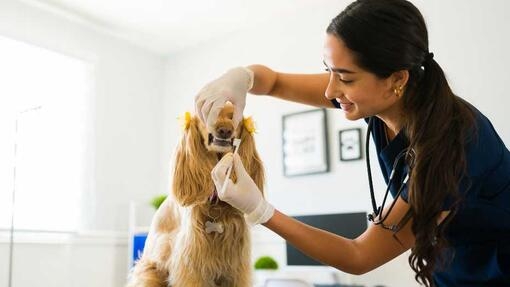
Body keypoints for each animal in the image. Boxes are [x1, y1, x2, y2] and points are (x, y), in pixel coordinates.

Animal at [126, 104, 264, 287]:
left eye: (233, 116)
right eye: (208, 112)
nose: (225, 130)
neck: (216, 205)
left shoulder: (236, 267)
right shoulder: (192, 265)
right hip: (149, 273)